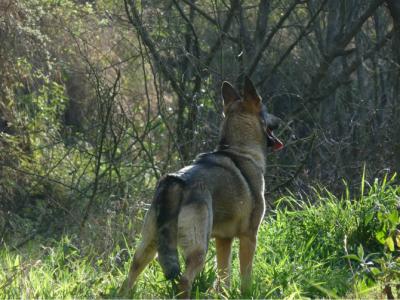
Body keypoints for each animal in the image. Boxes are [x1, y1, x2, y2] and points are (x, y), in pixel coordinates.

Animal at [120, 77, 282, 298]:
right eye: (266, 110)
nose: (280, 120)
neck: (241, 151)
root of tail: (174, 181)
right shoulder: (249, 236)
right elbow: (245, 278)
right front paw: (246, 294)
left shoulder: (224, 240)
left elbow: (224, 278)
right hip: (198, 250)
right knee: (184, 281)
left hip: (148, 248)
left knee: (128, 279)